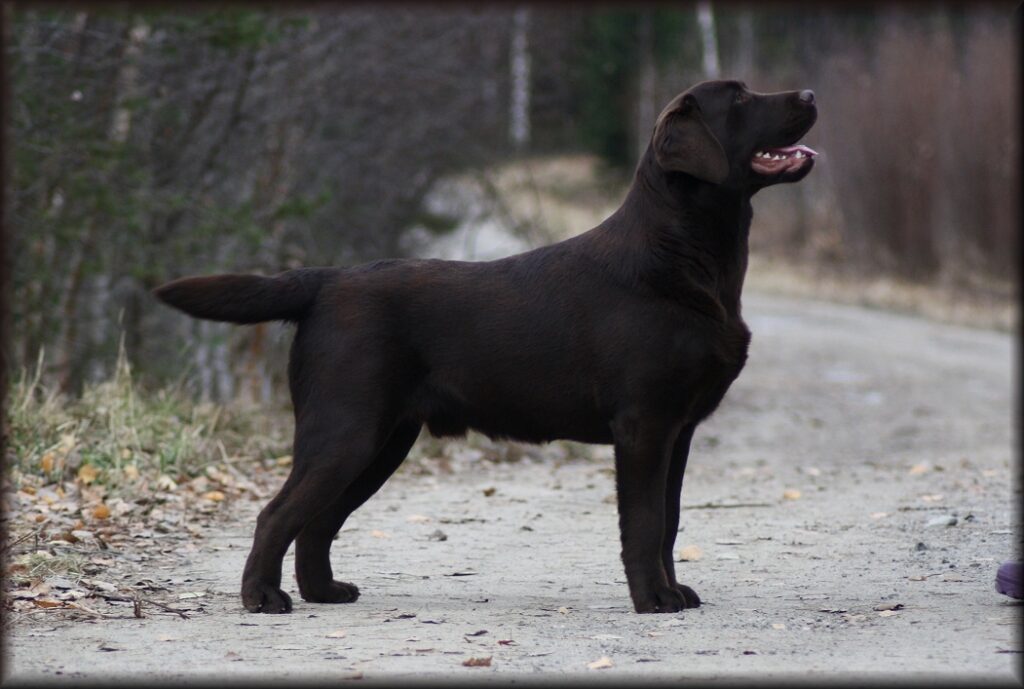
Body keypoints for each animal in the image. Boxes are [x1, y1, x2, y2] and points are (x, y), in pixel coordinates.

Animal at [155, 80, 817, 614]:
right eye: (740, 99)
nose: (810, 94)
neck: (683, 255)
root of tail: (325, 279)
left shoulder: (678, 431)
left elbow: (671, 522)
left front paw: (673, 590)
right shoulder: (644, 425)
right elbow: (645, 522)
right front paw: (653, 599)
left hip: (383, 440)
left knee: (317, 522)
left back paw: (324, 592)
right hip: (345, 430)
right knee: (278, 514)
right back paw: (263, 598)